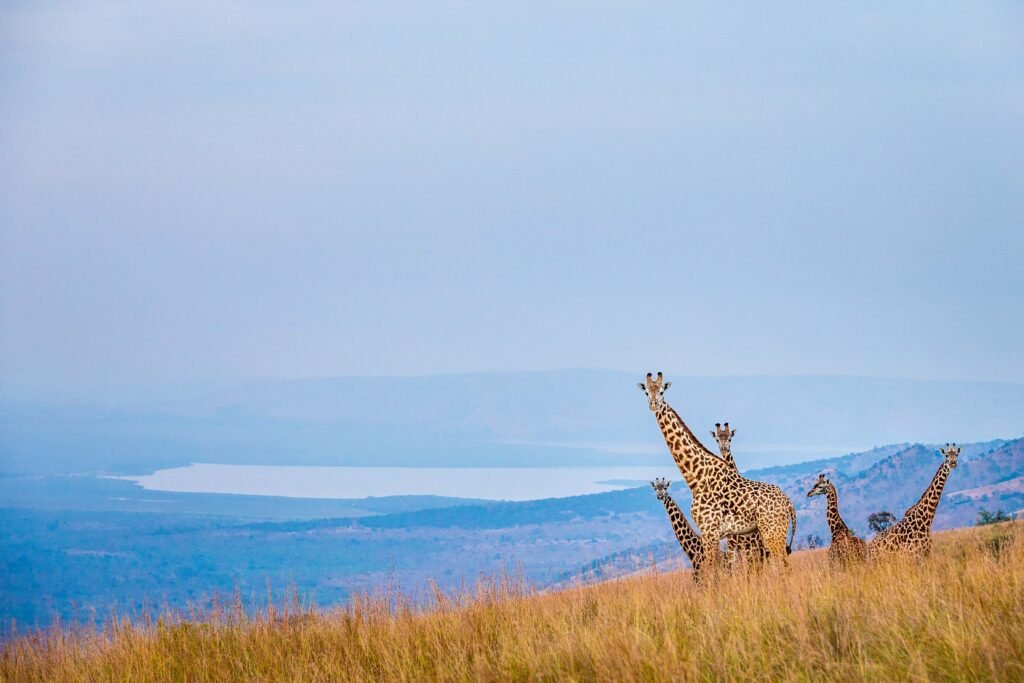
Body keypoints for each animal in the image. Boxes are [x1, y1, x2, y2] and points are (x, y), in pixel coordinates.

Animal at [638, 372, 796, 574]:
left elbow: (713, 573)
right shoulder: (717, 535)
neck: (695, 477)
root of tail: (788, 503)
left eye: (662, 391)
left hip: (772, 534)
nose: (653, 403)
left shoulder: (710, 532)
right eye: (646, 392)